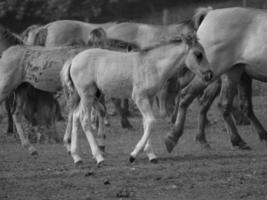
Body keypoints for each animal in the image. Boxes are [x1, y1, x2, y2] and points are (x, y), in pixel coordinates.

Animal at [60, 32, 214, 166]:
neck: (152, 65)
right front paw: (133, 155)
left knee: (75, 116)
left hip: (83, 96)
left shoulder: (149, 98)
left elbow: (146, 123)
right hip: (87, 95)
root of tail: (73, 60)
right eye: (198, 54)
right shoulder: (139, 98)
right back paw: (99, 157)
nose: (210, 75)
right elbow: (151, 121)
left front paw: (151, 155)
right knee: (84, 120)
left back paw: (77, 157)